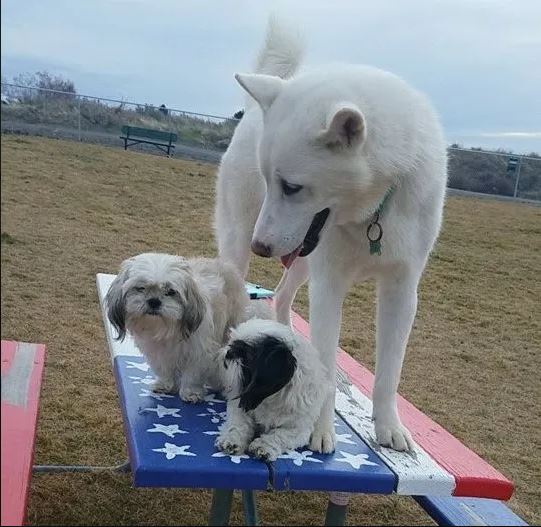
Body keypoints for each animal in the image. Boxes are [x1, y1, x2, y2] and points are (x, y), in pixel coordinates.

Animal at [216, 318, 330, 462]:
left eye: (246, 355)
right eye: (231, 344)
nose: (228, 353)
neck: (270, 398)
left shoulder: (299, 428)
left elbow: (280, 435)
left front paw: (263, 445)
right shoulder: (240, 406)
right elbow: (238, 423)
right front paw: (232, 439)